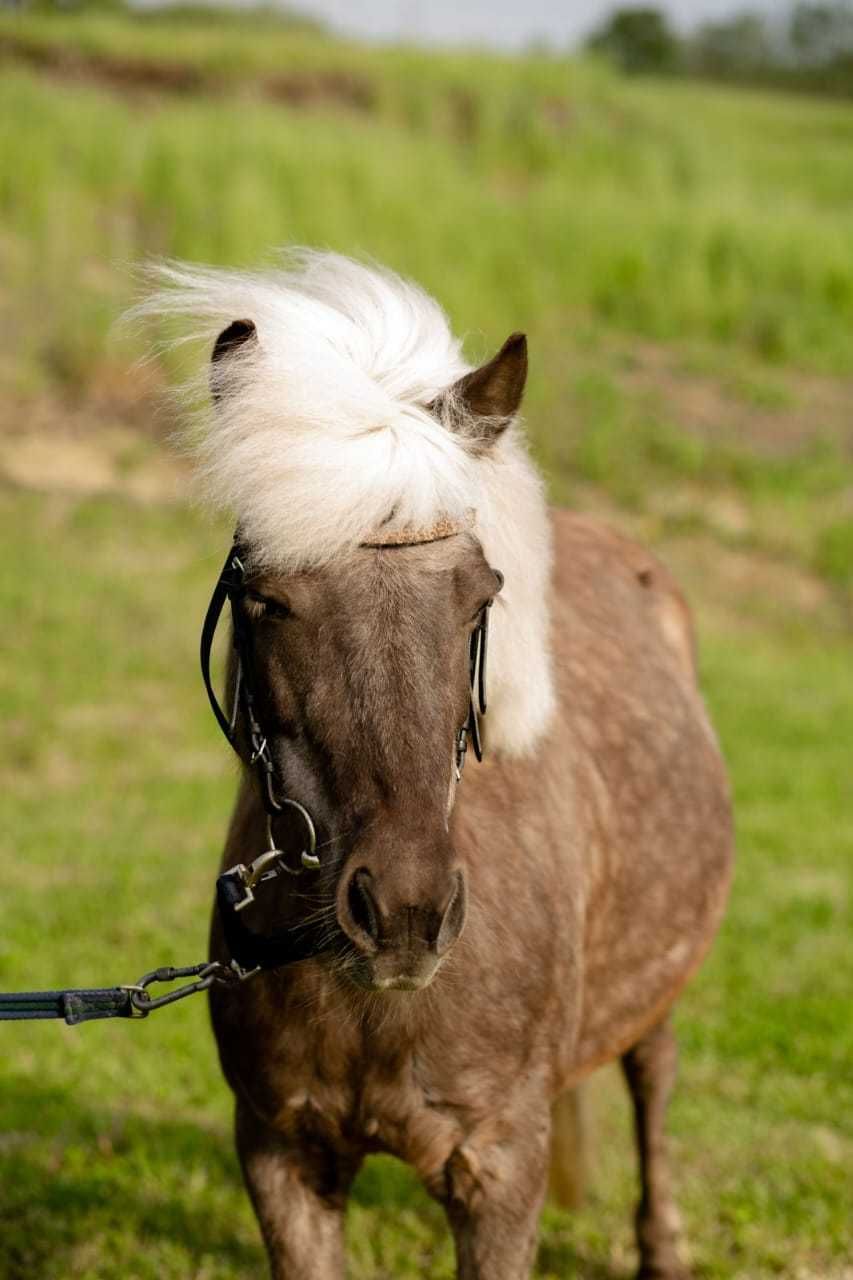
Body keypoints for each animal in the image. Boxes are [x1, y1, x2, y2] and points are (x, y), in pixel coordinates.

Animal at [140, 252, 732, 1280]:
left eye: (478, 596)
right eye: (267, 601)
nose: (406, 913)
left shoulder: (498, 1171)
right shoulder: (281, 1157)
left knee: (652, 1072)